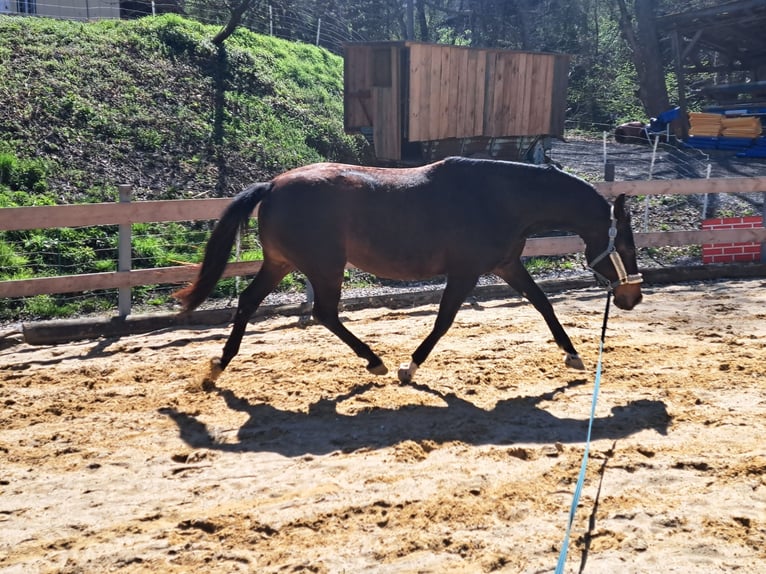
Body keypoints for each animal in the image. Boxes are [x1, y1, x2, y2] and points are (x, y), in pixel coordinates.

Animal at [174, 156, 643, 384]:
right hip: (324, 267)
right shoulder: (466, 271)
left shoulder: (506, 264)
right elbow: (444, 320)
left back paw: (219, 366)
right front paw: (410, 367)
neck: (500, 198)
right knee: (324, 313)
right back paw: (375, 362)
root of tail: (272, 185)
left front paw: (573, 355)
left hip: (282, 264)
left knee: (249, 302)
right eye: (625, 244)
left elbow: (543, 304)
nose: (632, 296)